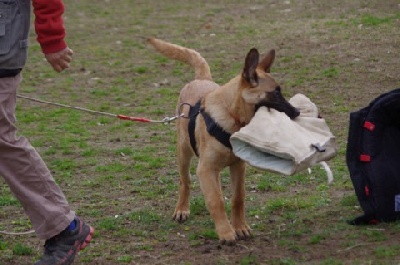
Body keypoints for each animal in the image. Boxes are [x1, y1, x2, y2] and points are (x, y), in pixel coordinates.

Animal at [148, 37, 298, 243]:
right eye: (275, 92)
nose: (297, 112)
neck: (231, 117)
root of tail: (201, 79)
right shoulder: (204, 168)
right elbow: (215, 200)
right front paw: (226, 232)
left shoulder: (238, 166)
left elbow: (238, 197)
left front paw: (240, 227)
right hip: (184, 153)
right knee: (185, 181)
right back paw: (182, 209)